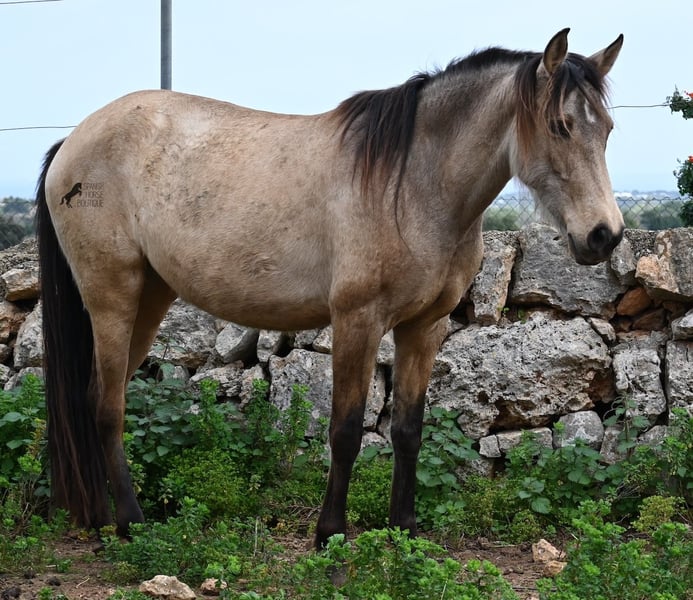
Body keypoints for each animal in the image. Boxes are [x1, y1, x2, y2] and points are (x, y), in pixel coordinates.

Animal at [36, 28, 624, 548]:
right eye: (560, 125)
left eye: (607, 129)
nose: (605, 235)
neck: (411, 185)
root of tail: (73, 141)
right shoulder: (357, 322)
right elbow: (345, 432)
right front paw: (330, 536)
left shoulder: (423, 328)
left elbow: (408, 430)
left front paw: (404, 533)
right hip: (112, 294)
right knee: (107, 405)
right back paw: (130, 523)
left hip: (151, 296)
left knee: (99, 396)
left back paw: (98, 518)